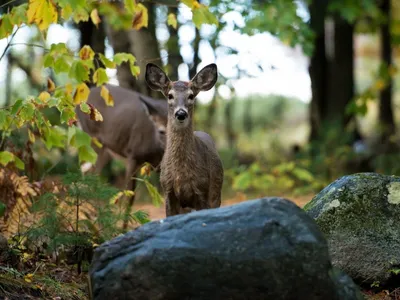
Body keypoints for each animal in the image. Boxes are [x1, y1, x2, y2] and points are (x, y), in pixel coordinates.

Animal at [145, 62, 223, 216]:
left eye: (191, 96)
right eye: (170, 95)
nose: (181, 113)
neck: (181, 176)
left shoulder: (202, 190)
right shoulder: (168, 191)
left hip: (216, 194)